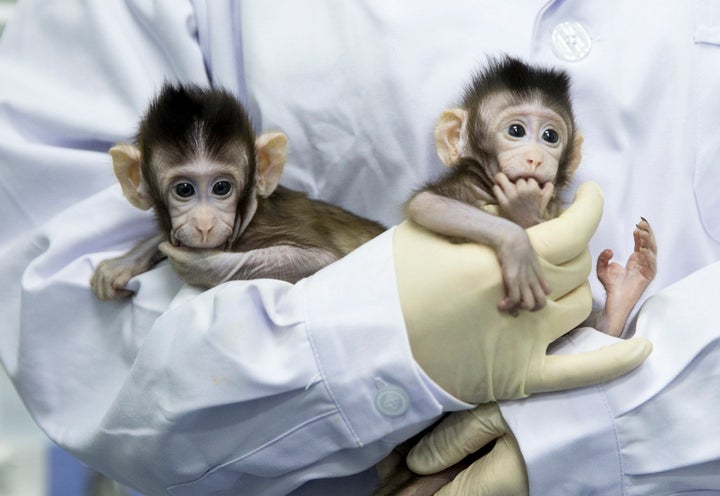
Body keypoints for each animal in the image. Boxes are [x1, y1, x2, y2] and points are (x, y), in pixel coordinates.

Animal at [91, 84, 388, 298]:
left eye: (221, 187)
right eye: (184, 189)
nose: (204, 224)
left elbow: (324, 261)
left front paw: (203, 264)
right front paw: (126, 261)